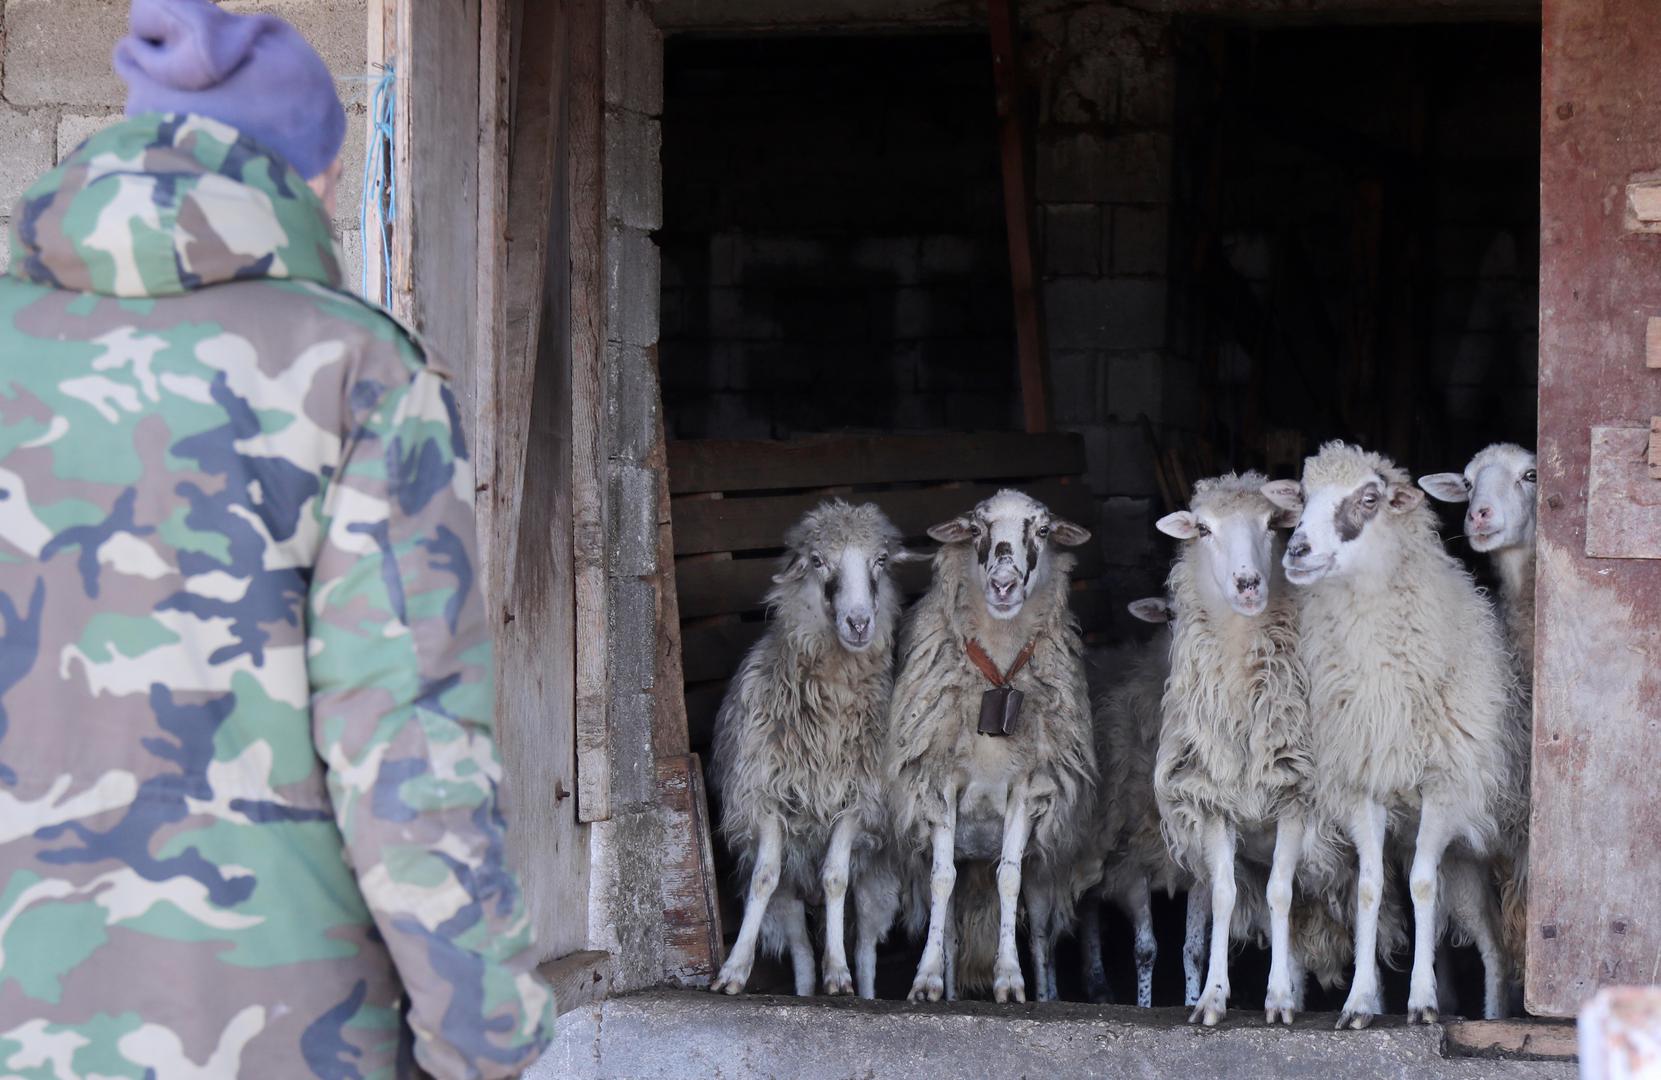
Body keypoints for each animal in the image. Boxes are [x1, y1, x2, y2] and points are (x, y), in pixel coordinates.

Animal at [704, 501, 910, 996]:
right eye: (818, 560)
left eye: (879, 560)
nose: (859, 623)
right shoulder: (764, 796)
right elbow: (764, 878)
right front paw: (733, 970)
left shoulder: (858, 804)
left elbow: (835, 878)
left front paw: (839, 973)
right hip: (791, 901)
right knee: (799, 953)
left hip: (877, 880)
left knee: (867, 948)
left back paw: (863, 990)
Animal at [890, 488, 1096, 1003]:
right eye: (976, 529)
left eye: (1042, 530)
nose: (1004, 585)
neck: (998, 676)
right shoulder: (939, 781)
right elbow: (941, 880)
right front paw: (925, 980)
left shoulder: (1029, 787)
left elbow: (1009, 877)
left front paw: (1009, 979)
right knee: (952, 926)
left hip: (1043, 873)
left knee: (1039, 933)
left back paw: (1044, 992)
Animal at [1156, 471, 1322, 1023]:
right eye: (1203, 528)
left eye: (1272, 524)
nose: (1248, 583)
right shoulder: (1211, 800)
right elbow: (1226, 897)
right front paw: (1212, 998)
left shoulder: (1296, 795)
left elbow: (1279, 894)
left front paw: (1278, 1000)